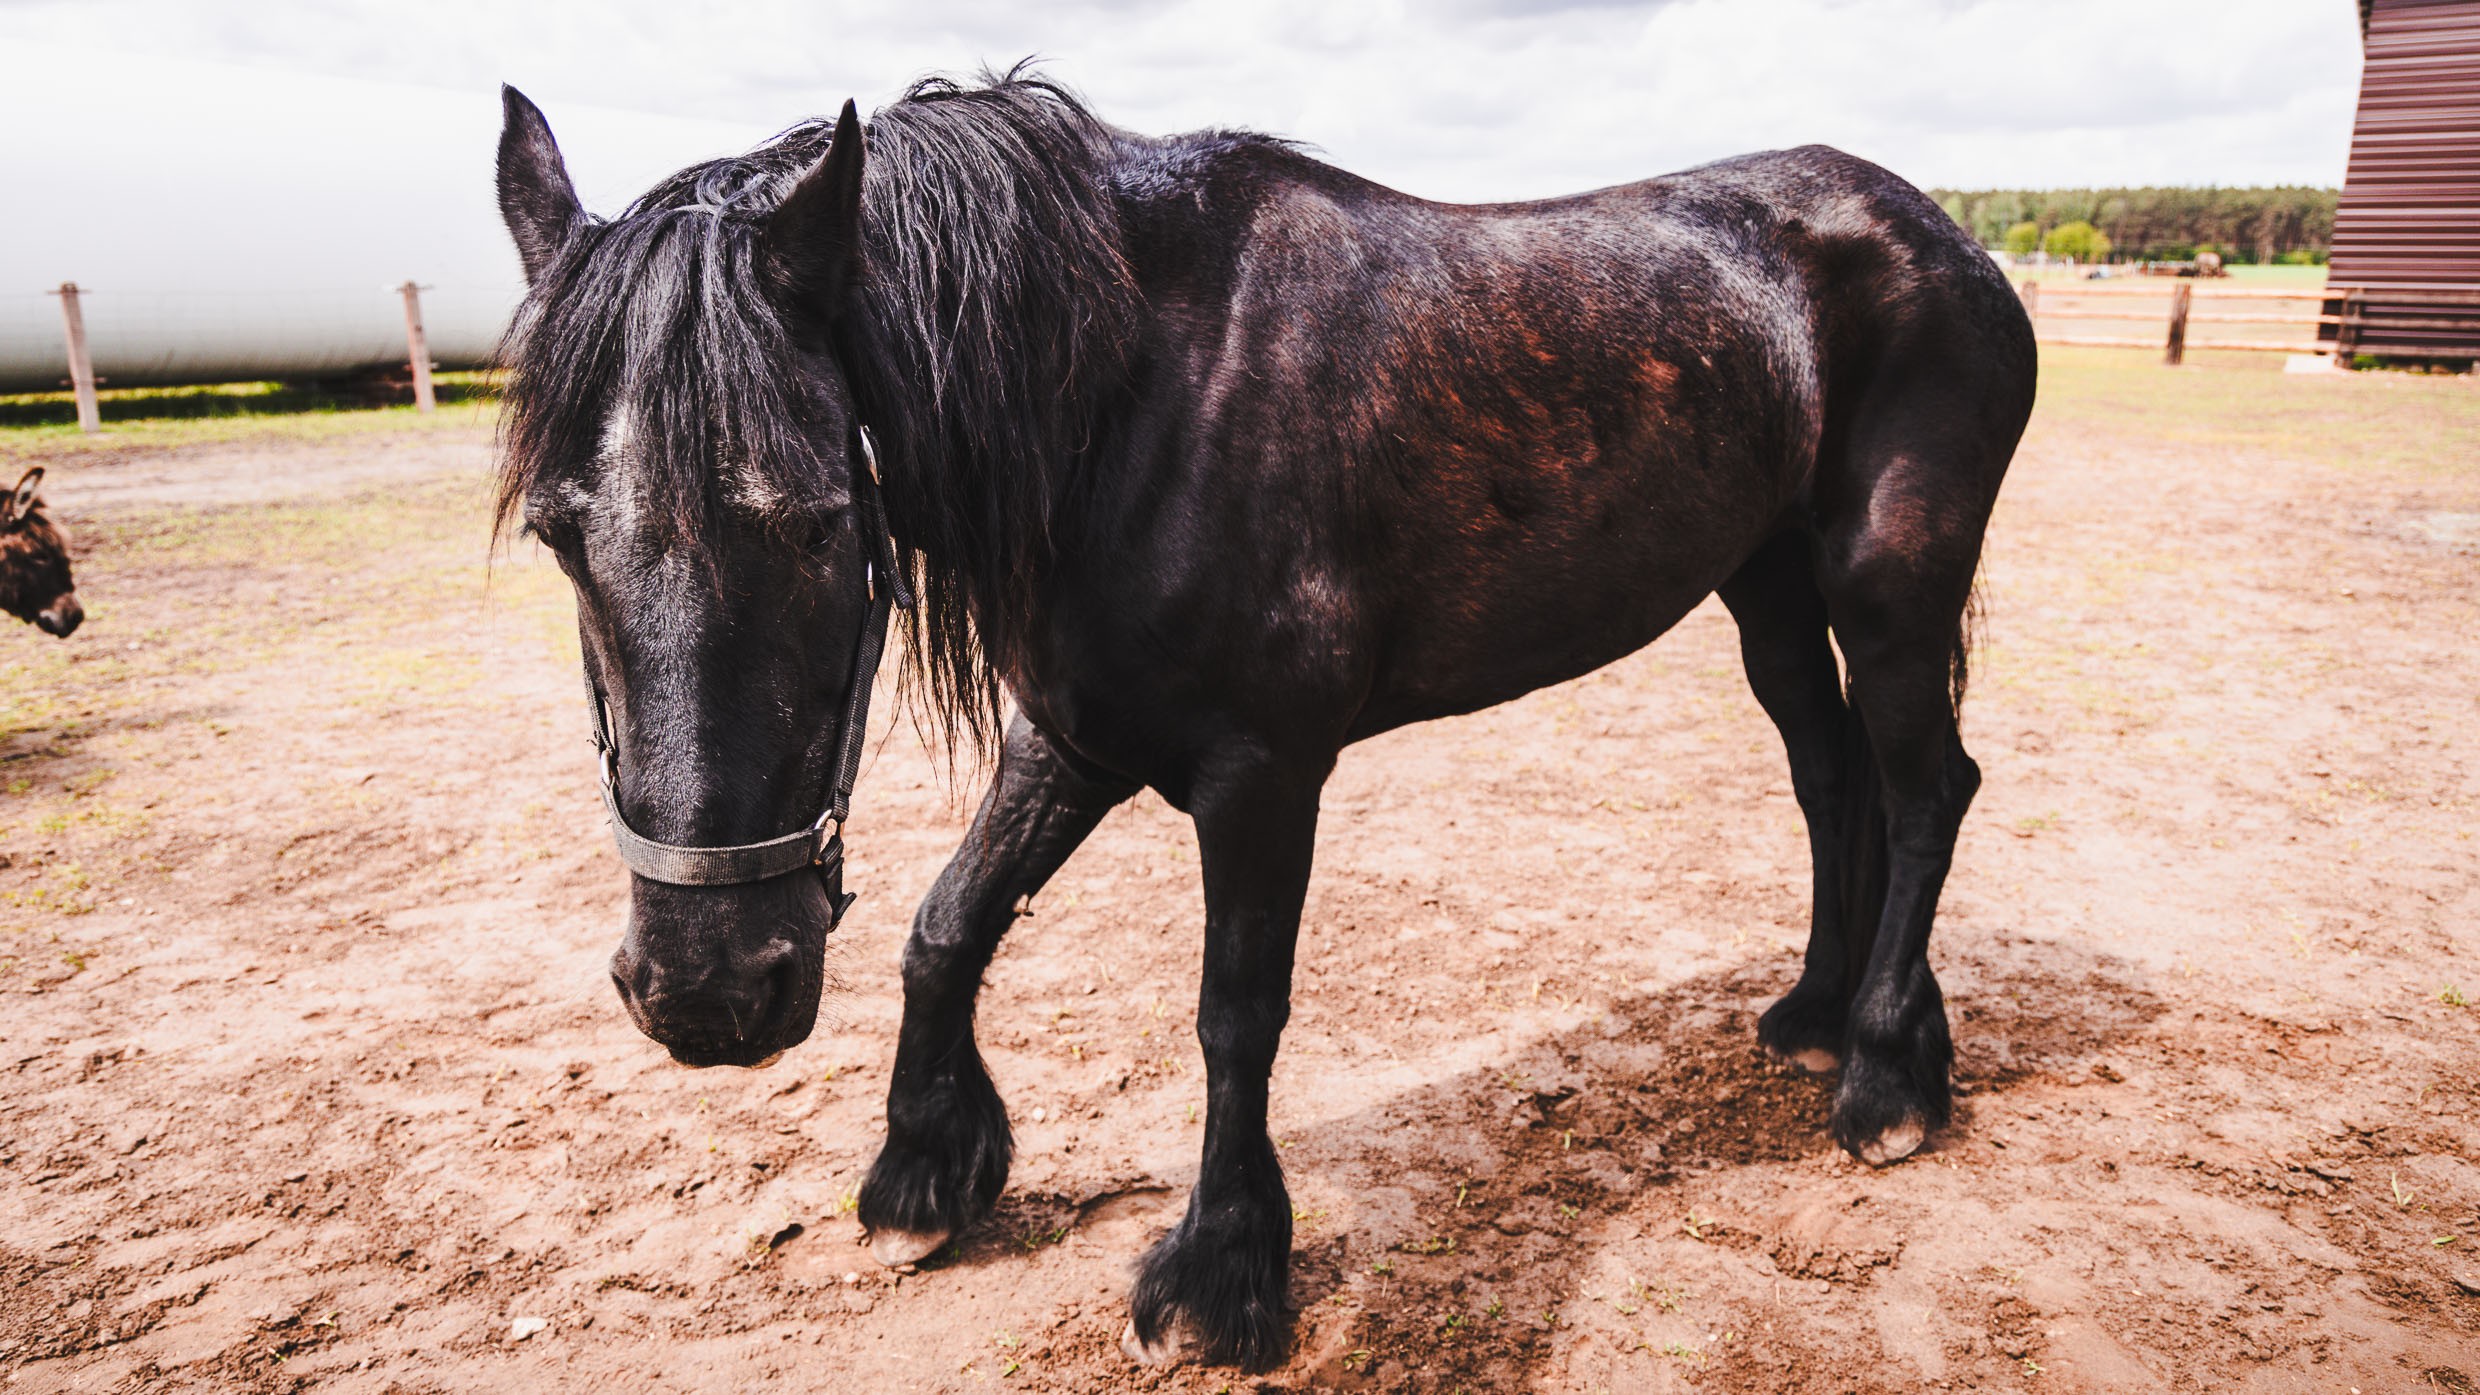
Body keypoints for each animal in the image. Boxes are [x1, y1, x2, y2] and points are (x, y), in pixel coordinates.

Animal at [488, 70, 2033, 1360]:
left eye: (814, 525)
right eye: (560, 536)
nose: (705, 993)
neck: (1129, 398)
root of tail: (1944, 237)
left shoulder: (1261, 772)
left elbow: (1234, 1011)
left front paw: (1217, 1276)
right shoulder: (1073, 738)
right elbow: (947, 925)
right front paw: (925, 1172)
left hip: (1886, 584)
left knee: (1924, 790)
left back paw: (1886, 1077)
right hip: (1762, 585)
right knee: (1832, 781)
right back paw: (1819, 1015)